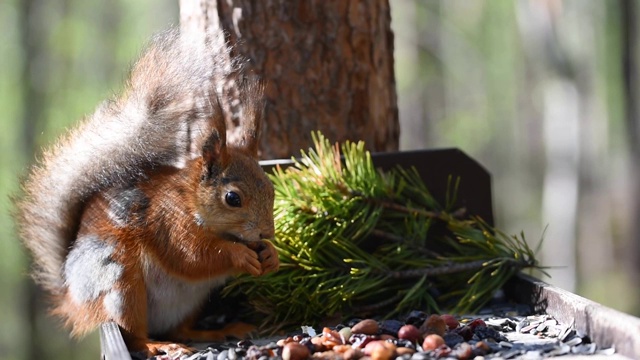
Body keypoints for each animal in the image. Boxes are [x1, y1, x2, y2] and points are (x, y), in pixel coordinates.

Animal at [14, 28, 278, 358]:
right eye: (233, 198)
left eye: (271, 188)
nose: (267, 233)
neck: (189, 200)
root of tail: (73, 297)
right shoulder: (168, 222)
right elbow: (194, 256)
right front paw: (239, 254)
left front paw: (271, 255)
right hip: (119, 282)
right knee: (132, 333)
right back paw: (158, 344)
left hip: (189, 302)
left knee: (180, 327)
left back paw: (217, 331)